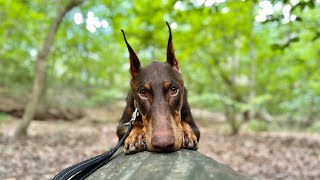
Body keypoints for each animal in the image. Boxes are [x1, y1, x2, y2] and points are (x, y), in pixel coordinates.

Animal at [116, 22, 199, 154]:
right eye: (143, 92)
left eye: (173, 90)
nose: (163, 144)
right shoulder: (122, 125)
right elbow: (136, 123)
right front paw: (136, 135)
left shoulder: (195, 126)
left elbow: (184, 122)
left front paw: (186, 133)